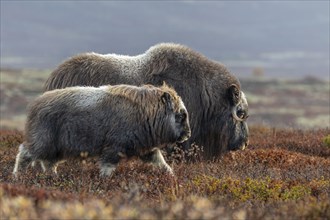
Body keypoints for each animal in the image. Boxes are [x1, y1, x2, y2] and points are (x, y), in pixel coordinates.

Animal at [12, 83, 191, 176]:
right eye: (180, 115)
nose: (187, 135)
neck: (146, 112)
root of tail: (35, 104)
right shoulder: (113, 148)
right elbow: (108, 167)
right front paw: (105, 180)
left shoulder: (146, 149)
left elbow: (161, 163)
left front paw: (171, 176)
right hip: (43, 141)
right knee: (25, 154)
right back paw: (17, 176)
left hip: (56, 149)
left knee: (48, 162)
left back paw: (53, 177)